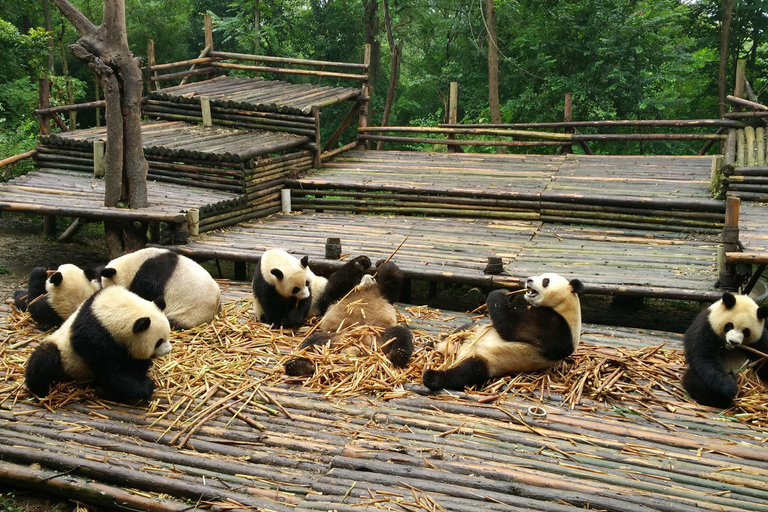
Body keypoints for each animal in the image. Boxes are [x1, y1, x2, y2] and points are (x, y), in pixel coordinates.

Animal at [25, 286, 172, 403]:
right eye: (158, 342)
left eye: (168, 334)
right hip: (64, 355)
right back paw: (40, 389)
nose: (168, 350)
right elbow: (110, 370)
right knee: (45, 359)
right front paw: (145, 386)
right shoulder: (94, 338)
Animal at [284, 259, 413, 377]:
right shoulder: (341, 295)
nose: (369, 276)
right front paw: (362, 262)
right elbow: (336, 284)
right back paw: (299, 366)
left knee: (401, 335)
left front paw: (381, 264)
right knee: (311, 344)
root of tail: (358, 345)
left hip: (380, 335)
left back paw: (399, 355)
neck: (365, 289)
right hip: (332, 338)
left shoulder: (385, 294)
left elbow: (391, 278)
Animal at [423, 273, 584, 391]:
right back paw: (431, 344)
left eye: (545, 281)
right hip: (473, 332)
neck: (564, 306)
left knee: (466, 373)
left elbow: (512, 326)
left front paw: (498, 293)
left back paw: (432, 377)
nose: (529, 280)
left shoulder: (553, 327)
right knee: (464, 329)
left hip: (488, 361)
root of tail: (456, 352)